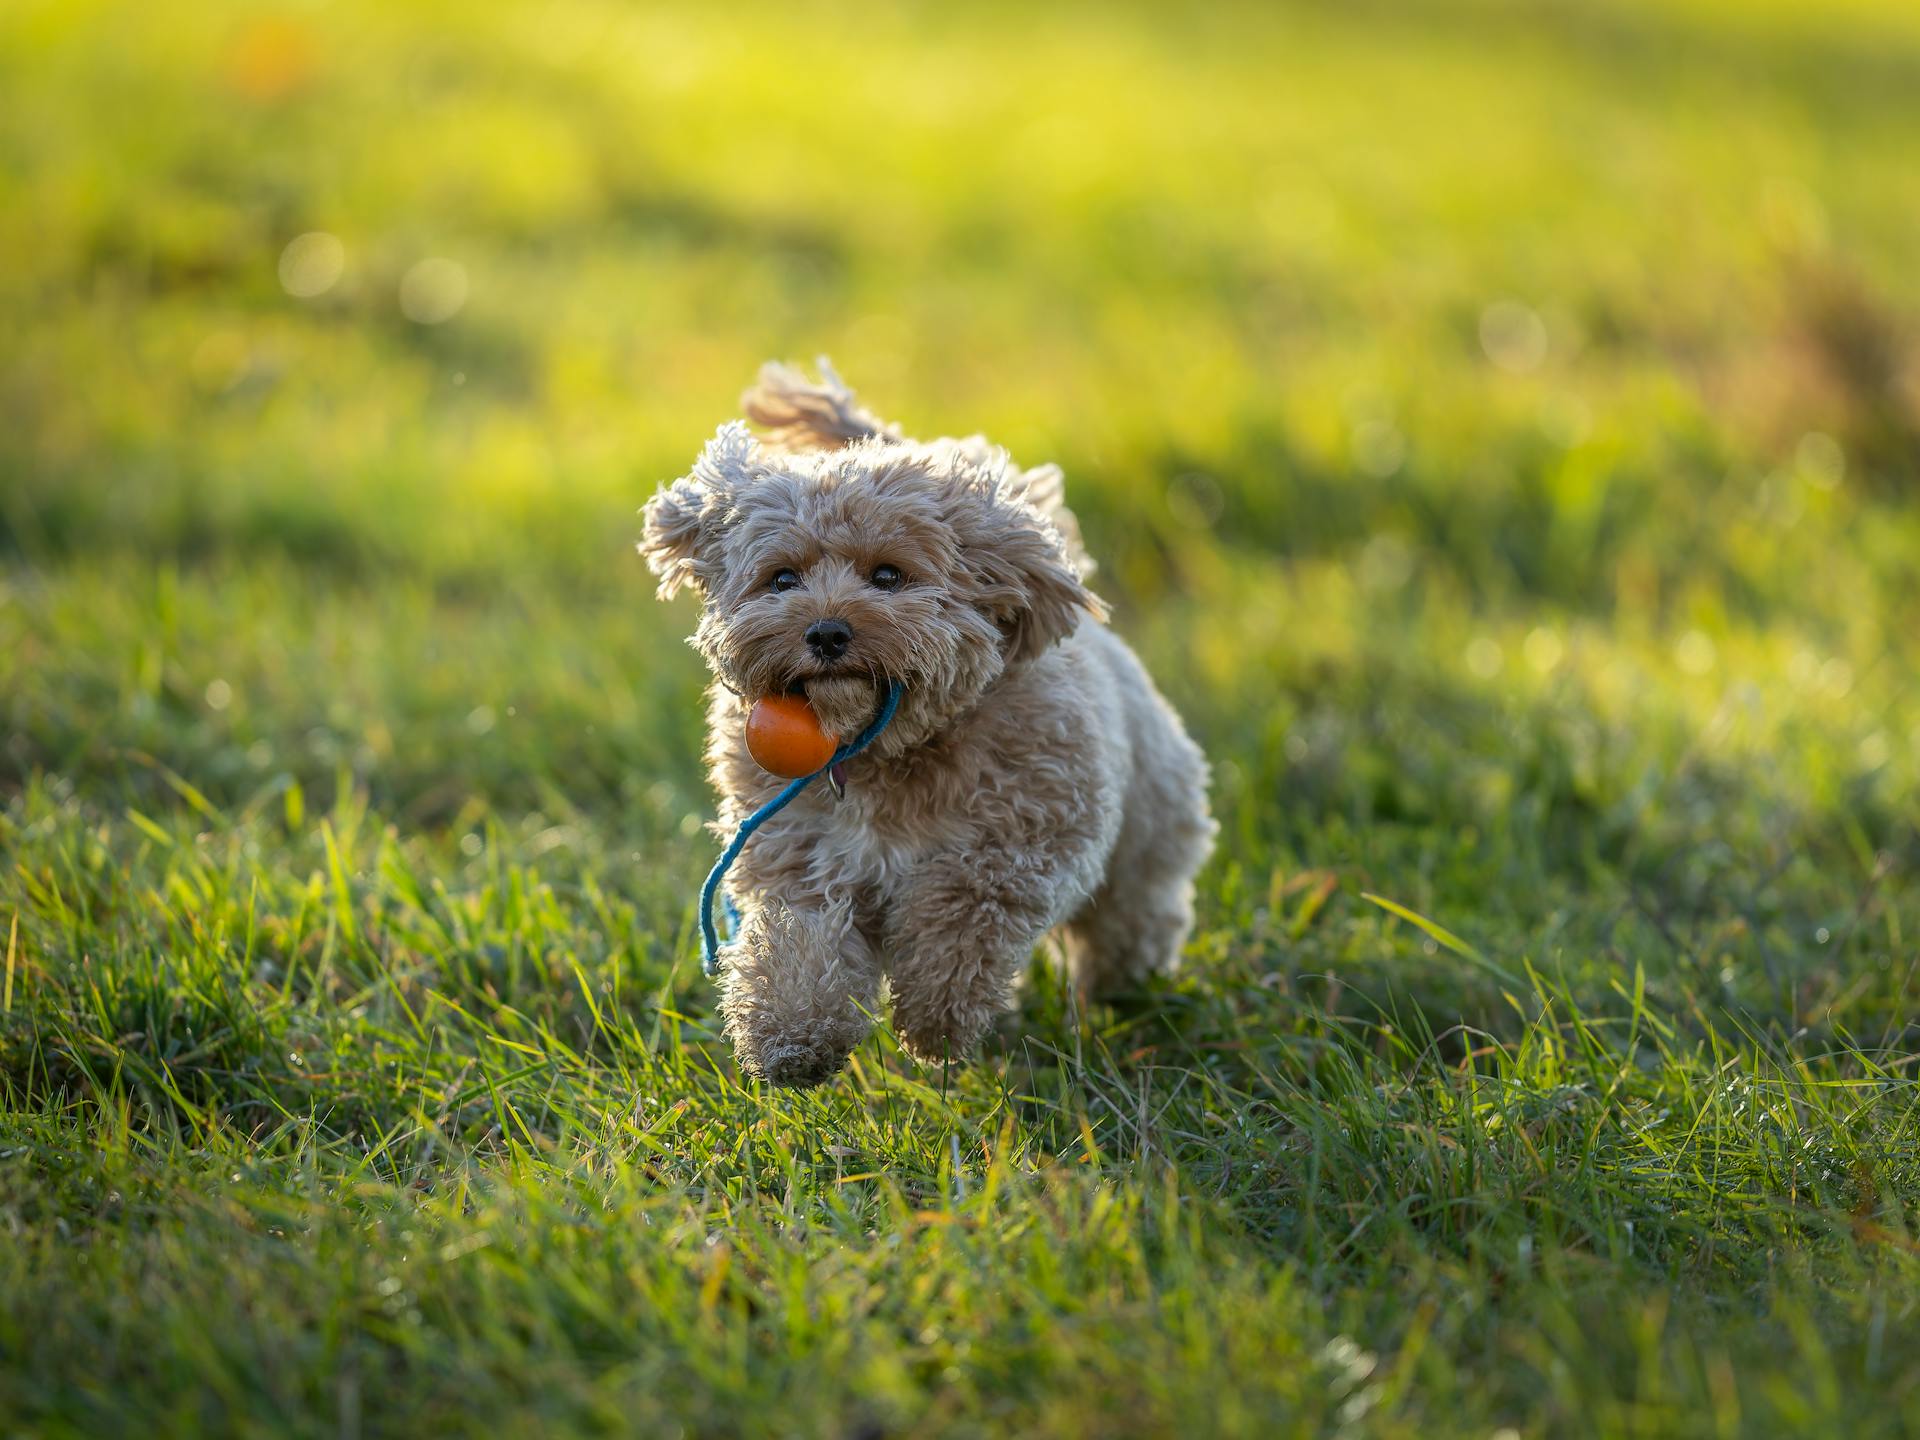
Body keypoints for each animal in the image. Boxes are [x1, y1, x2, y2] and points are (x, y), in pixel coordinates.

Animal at [645, 366, 1213, 1090]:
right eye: (782, 578)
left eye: (889, 575)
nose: (826, 632)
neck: (885, 753)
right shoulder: (800, 857)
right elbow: (798, 944)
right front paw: (792, 1039)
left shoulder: (1012, 844)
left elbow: (961, 919)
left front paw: (936, 1022)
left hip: (1148, 831)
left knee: (1130, 915)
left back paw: (1126, 990)